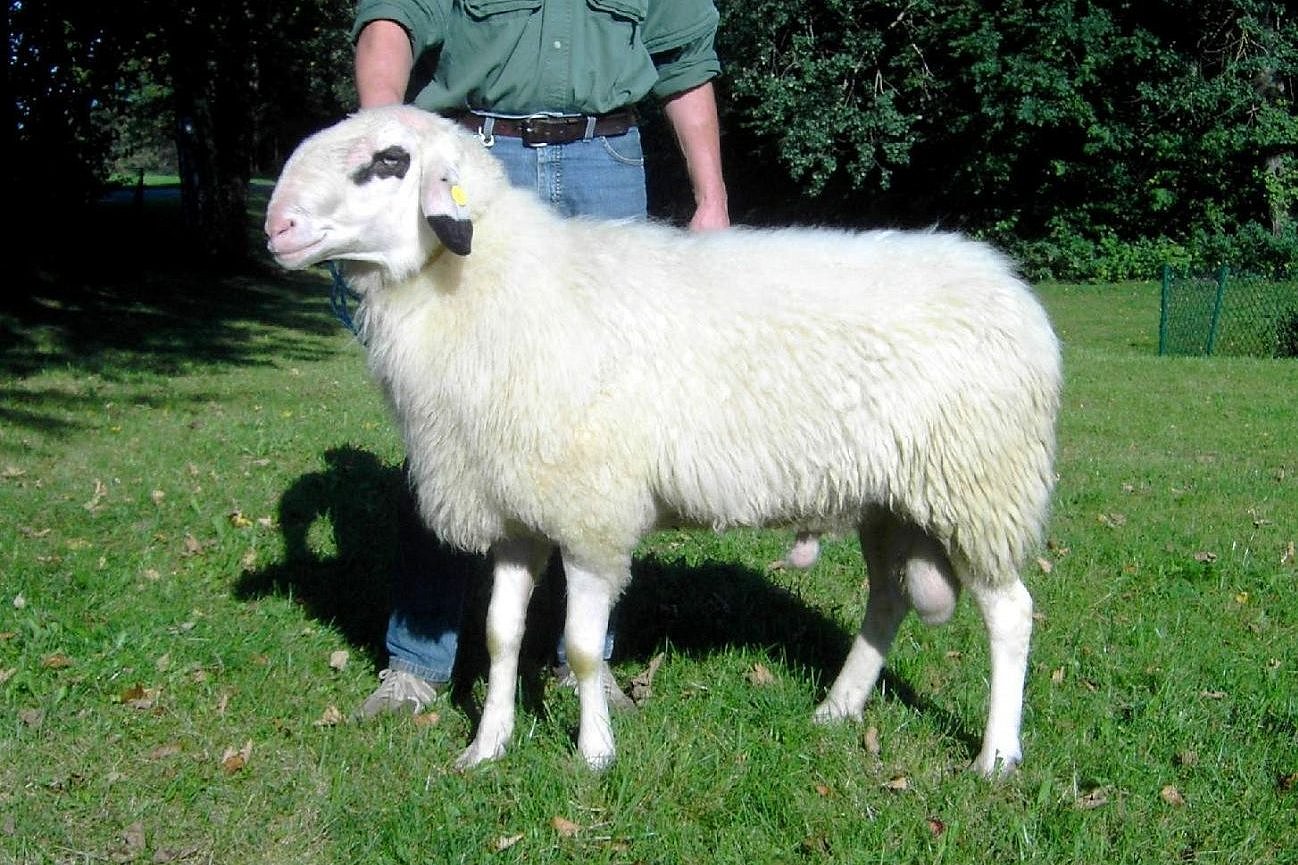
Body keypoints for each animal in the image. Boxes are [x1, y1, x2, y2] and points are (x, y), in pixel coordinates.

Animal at [266, 105, 1064, 774]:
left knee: (1012, 614)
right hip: (890, 499)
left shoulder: (591, 511)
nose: (276, 227)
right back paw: (838, 707)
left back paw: (996, 755)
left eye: (390, 160)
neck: (492, 287)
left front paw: (593, 754)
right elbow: (498, 637)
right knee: (889, 601)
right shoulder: (515, 510)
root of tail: (1011, 290)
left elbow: (583, 650)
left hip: (978, 485)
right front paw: (486, 747)